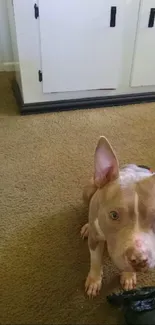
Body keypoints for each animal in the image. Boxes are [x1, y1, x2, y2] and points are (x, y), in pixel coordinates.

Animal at [80, 137, 155, 296]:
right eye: (114, 215)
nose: (139, 260)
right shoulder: (95, 240)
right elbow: (95, 261)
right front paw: (94, 280)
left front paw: (128, 276)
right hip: (88, 188)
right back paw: (87, 226)